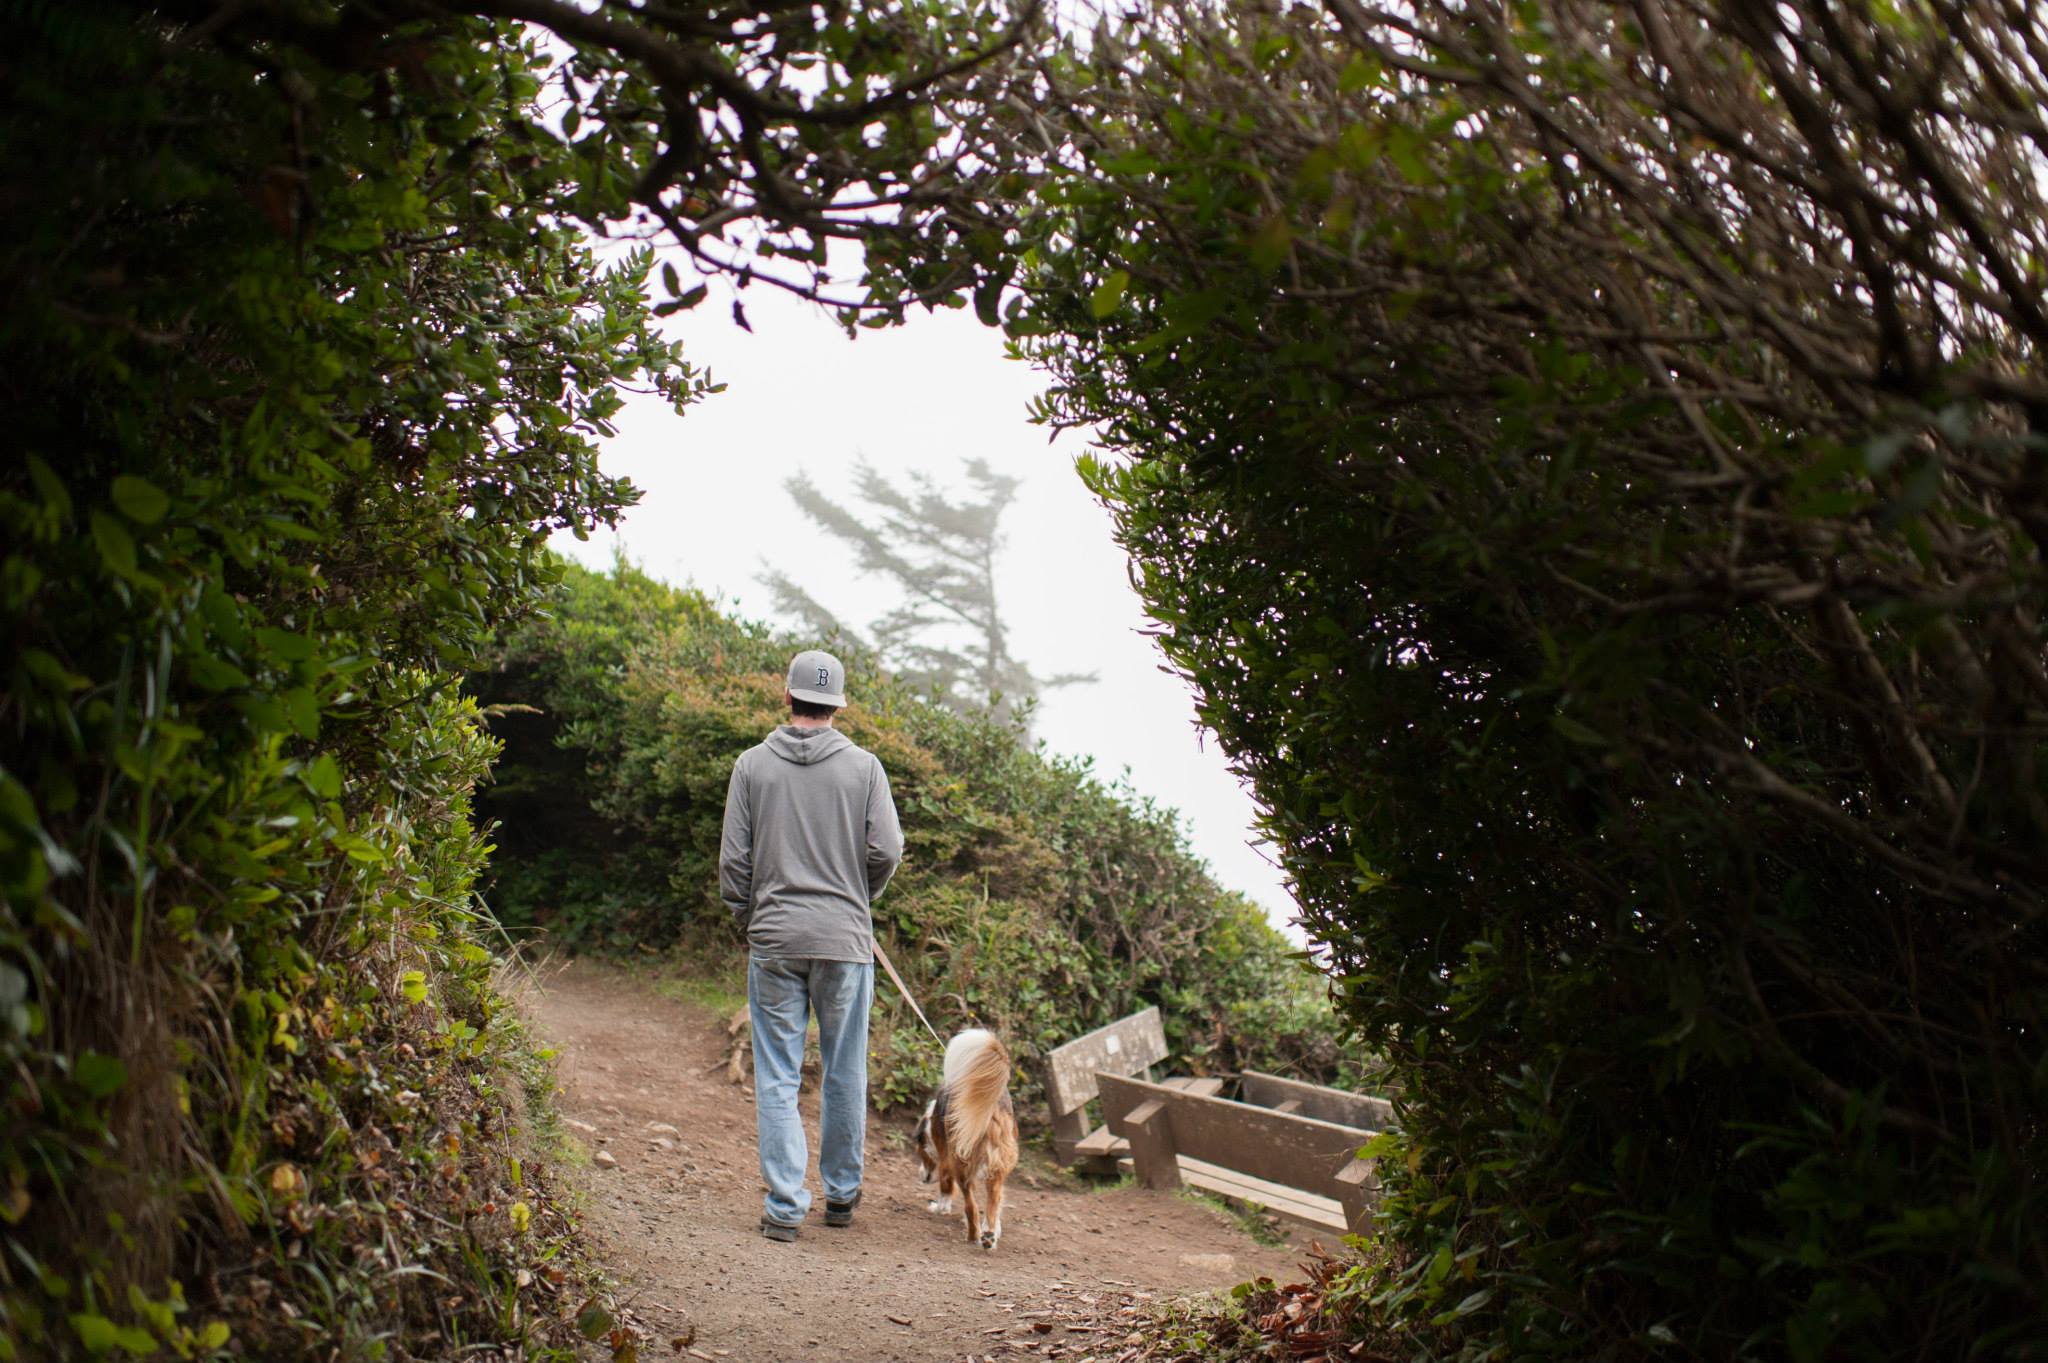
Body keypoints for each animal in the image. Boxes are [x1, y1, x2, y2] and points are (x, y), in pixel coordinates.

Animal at [913, 1023, 1015, 1244]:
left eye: (920, 1152)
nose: (921, 1177)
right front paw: (995, 1229)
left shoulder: (945, 1157)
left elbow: (946, 1187)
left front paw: (939, 1208)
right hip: (998, 1161)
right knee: (993, 1198)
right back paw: (989, 1235)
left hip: (961, 1160)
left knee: (971, 1205)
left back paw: (973, 1234)